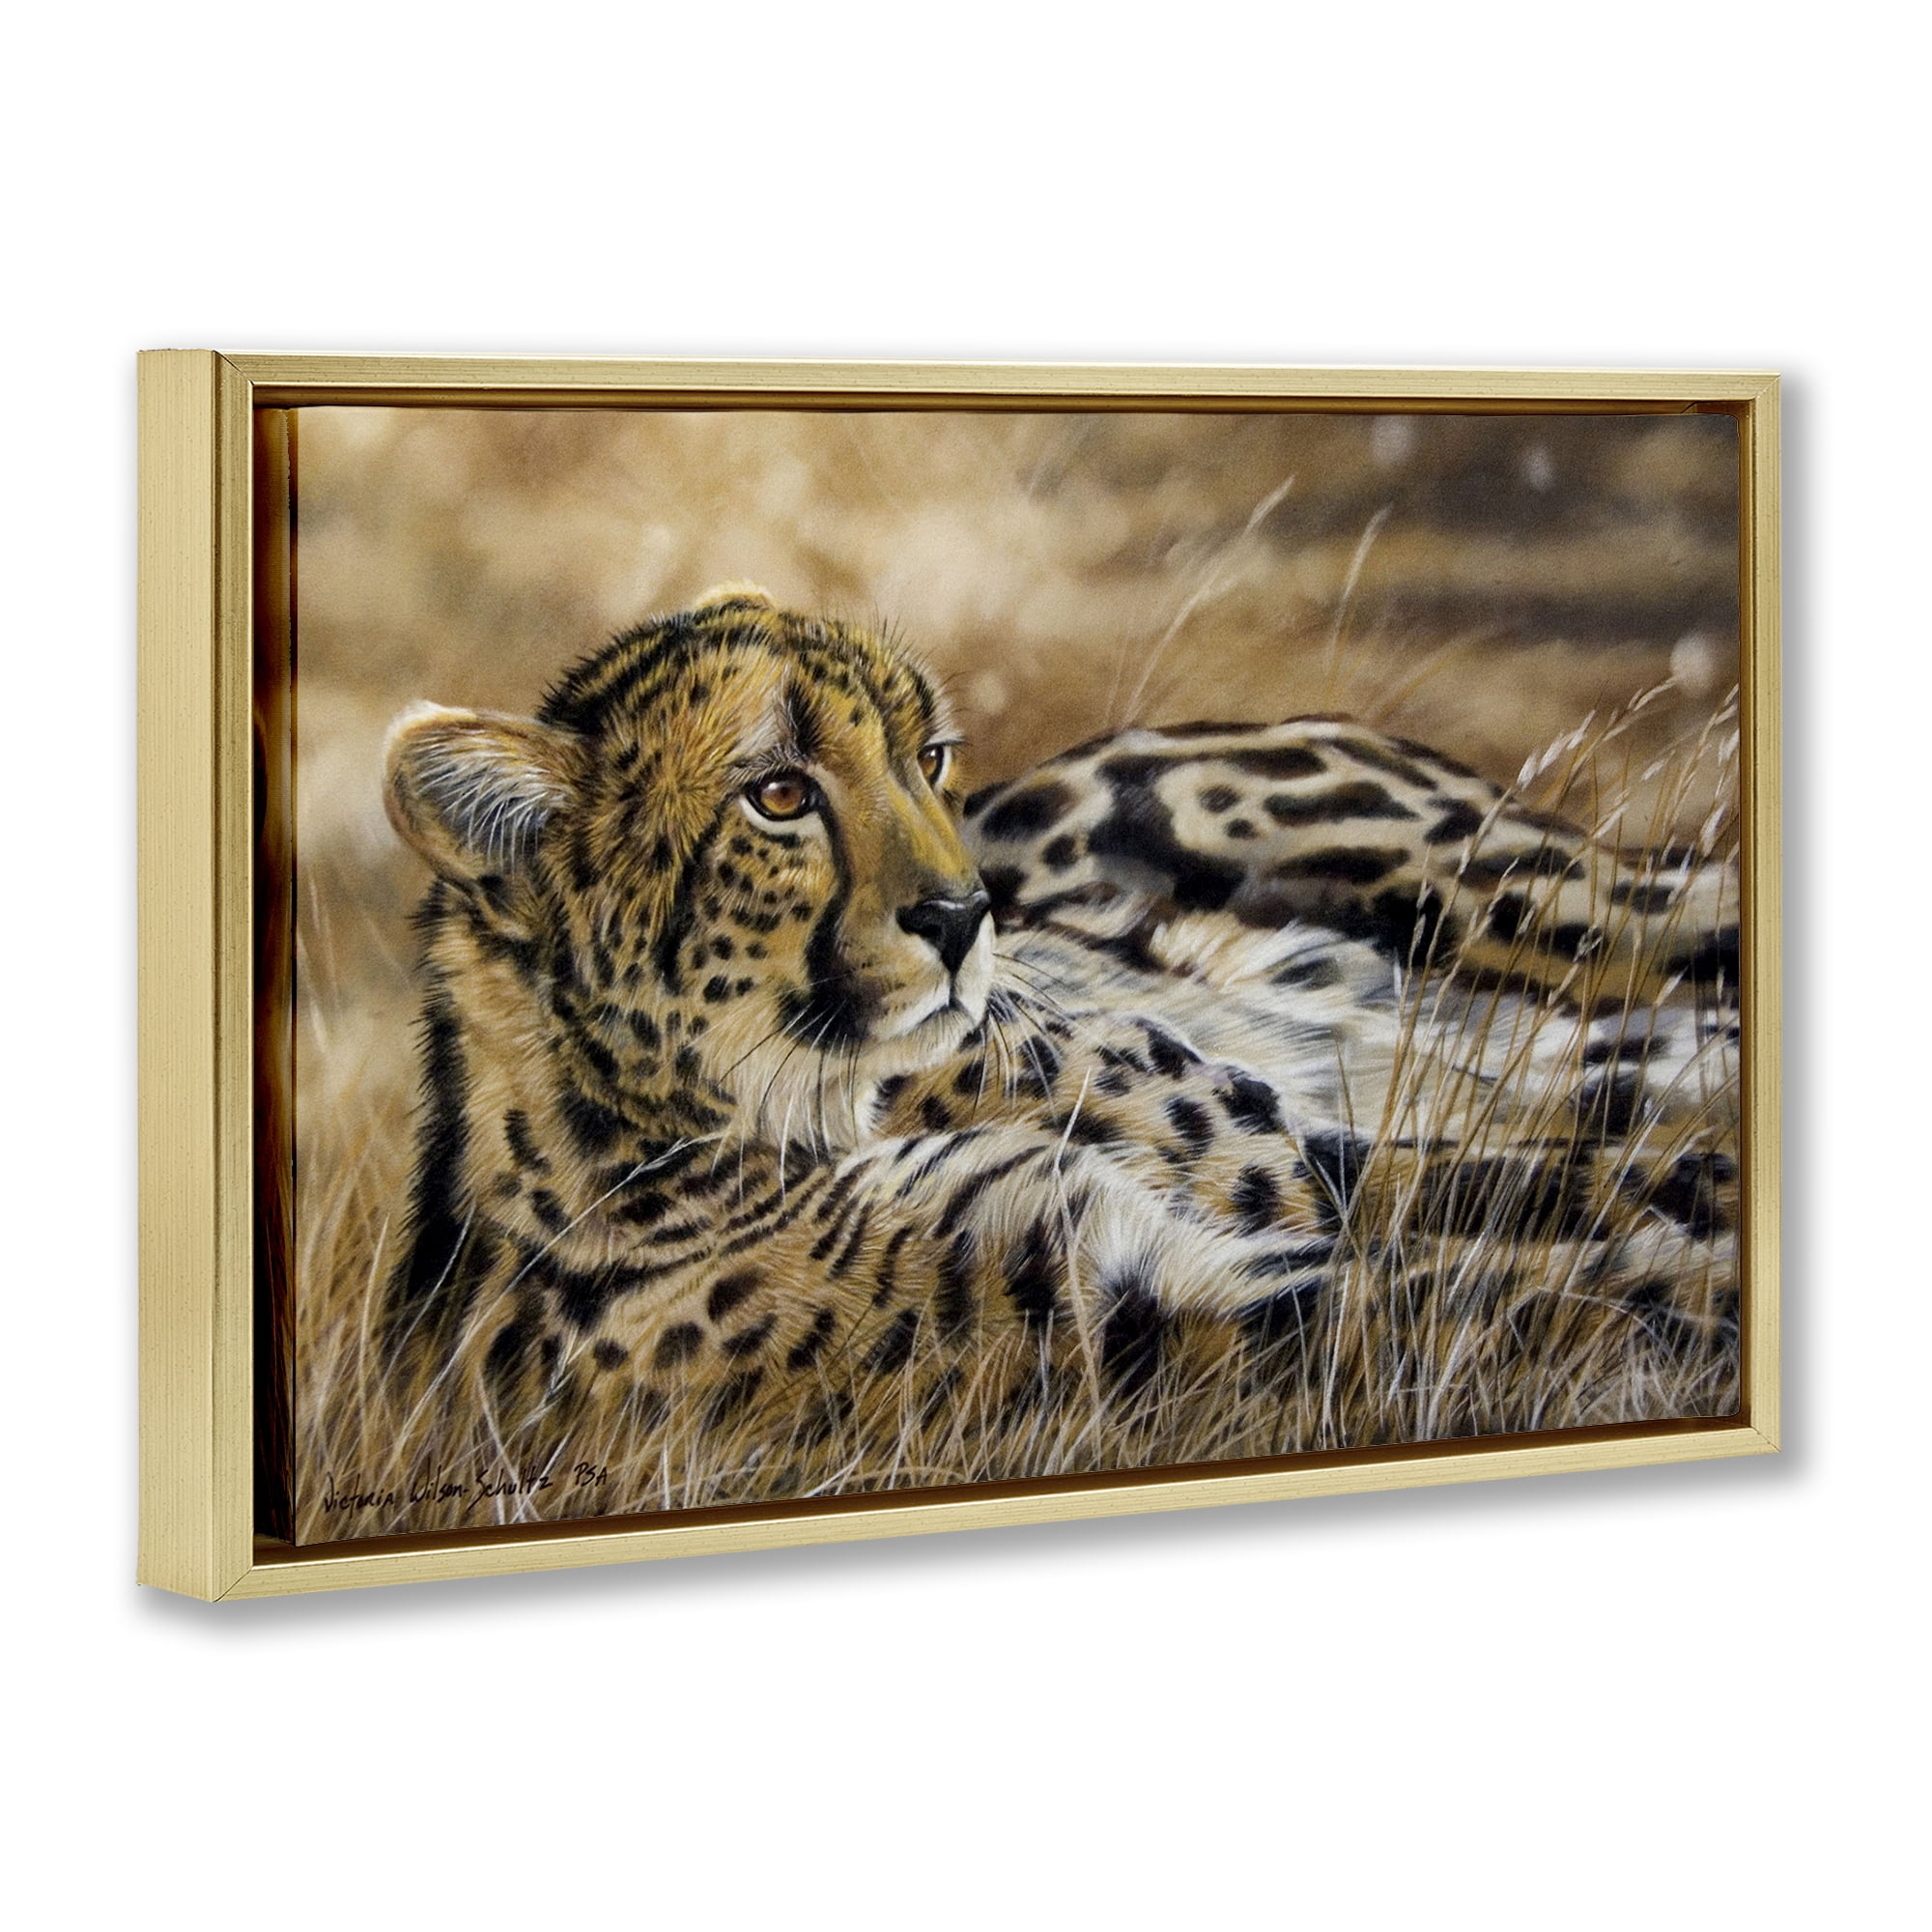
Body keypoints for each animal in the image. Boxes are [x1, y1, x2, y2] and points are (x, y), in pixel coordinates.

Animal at [369, 583, 1741, 1526]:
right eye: (778, 793)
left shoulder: (1281, 1166)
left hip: (1519, 893)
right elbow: (1513, 1279)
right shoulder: (1153, 1303)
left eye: (925, 757)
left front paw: (1698, 1227)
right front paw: (1698, 1278)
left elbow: (1548, 1192)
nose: (965, 911)